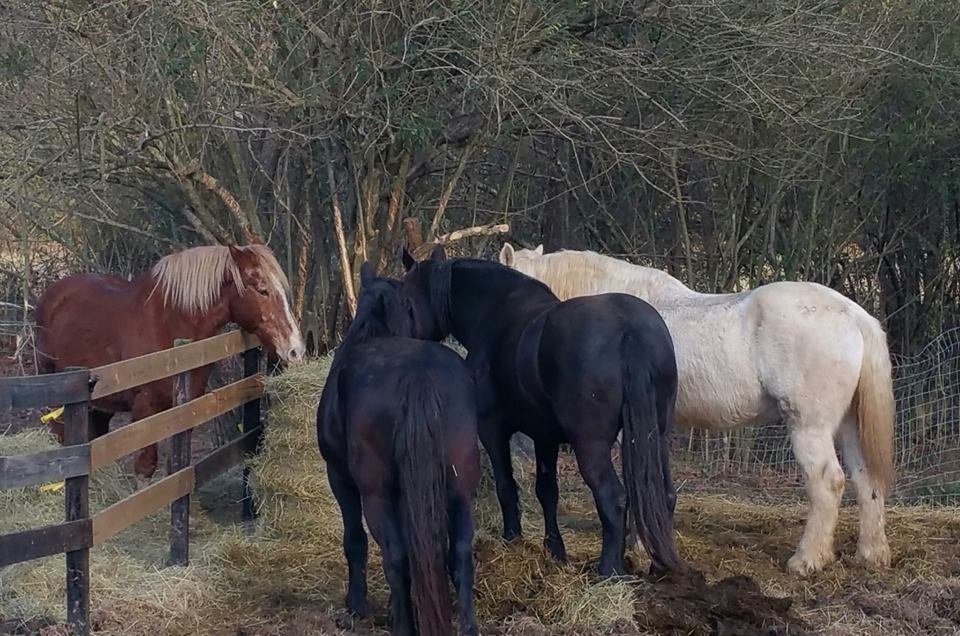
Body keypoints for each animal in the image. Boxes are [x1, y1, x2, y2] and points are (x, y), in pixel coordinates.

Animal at [34, 244, 305, 487]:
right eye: (262, 290)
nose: (295, 349)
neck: (170, 326)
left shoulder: (183, 412)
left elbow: (175, 469)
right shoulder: (145, 410)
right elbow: (145, 470)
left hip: (99, 407)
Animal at [316, 262, 481, 636]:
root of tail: (418, 377)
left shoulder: (339, 479)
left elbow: (355, 541)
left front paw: (357, 605)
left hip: (375, 494)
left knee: (395, 554)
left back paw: (404, 625)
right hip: (459, 489)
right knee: (460, 552)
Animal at [400, 246, 682, 577]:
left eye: (406, 298)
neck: (495, 314)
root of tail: (629, 331)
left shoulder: (492, 429)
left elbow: (506, 486)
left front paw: (512, 539)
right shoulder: (544, 436)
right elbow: (547, 491)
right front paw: (554, 550)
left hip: (592, 445)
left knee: (613, 497)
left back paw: (608, 571)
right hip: (656, 435)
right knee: (664, 494)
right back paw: (657, 566)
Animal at [498, 243, 895, 575]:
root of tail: (853, 315)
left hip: (809, 425)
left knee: (828, 482)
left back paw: (806, 560)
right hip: (848, 425)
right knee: (865, 479)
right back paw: (871, 554)